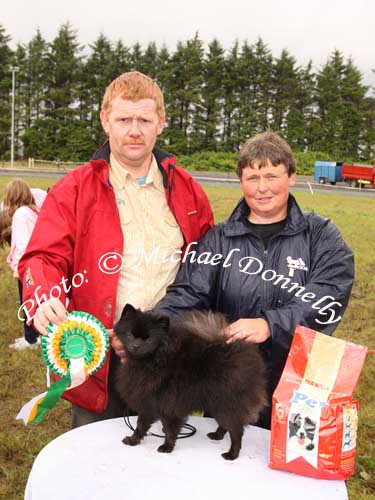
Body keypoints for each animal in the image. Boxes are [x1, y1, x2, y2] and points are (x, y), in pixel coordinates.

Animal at [114, 302, 268, 458]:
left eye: (148, 339)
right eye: (130, 335)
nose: (136, 346)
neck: (154, 360)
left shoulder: (165, 404)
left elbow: (164, 428)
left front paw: (165, 446)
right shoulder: (151, 402)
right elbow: (144, 425)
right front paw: (135, 440)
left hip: (227, 402)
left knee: (236, 430)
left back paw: (232, 454)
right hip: (217, 402)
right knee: (226, 424)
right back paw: (217, 435)